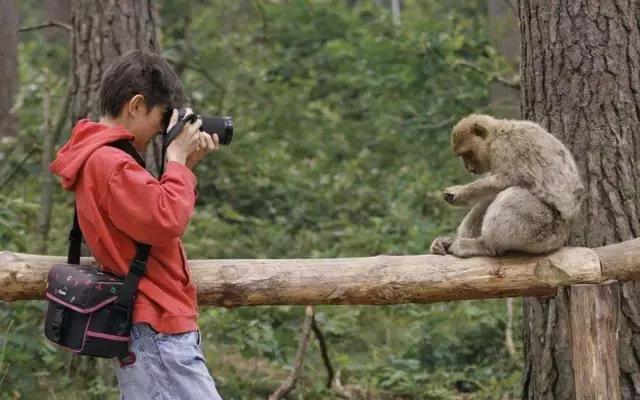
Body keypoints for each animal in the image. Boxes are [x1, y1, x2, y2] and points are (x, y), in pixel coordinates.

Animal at [430, 114, 584, 258]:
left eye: (467, 154)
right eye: (462, 155)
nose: (467, 167)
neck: (496, 135)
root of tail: (564, 236)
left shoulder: (508, 147)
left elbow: (514, 179)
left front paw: (459, 193)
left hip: (545, 232)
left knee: (512, 195)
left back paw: (485, 246)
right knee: (488, 199)